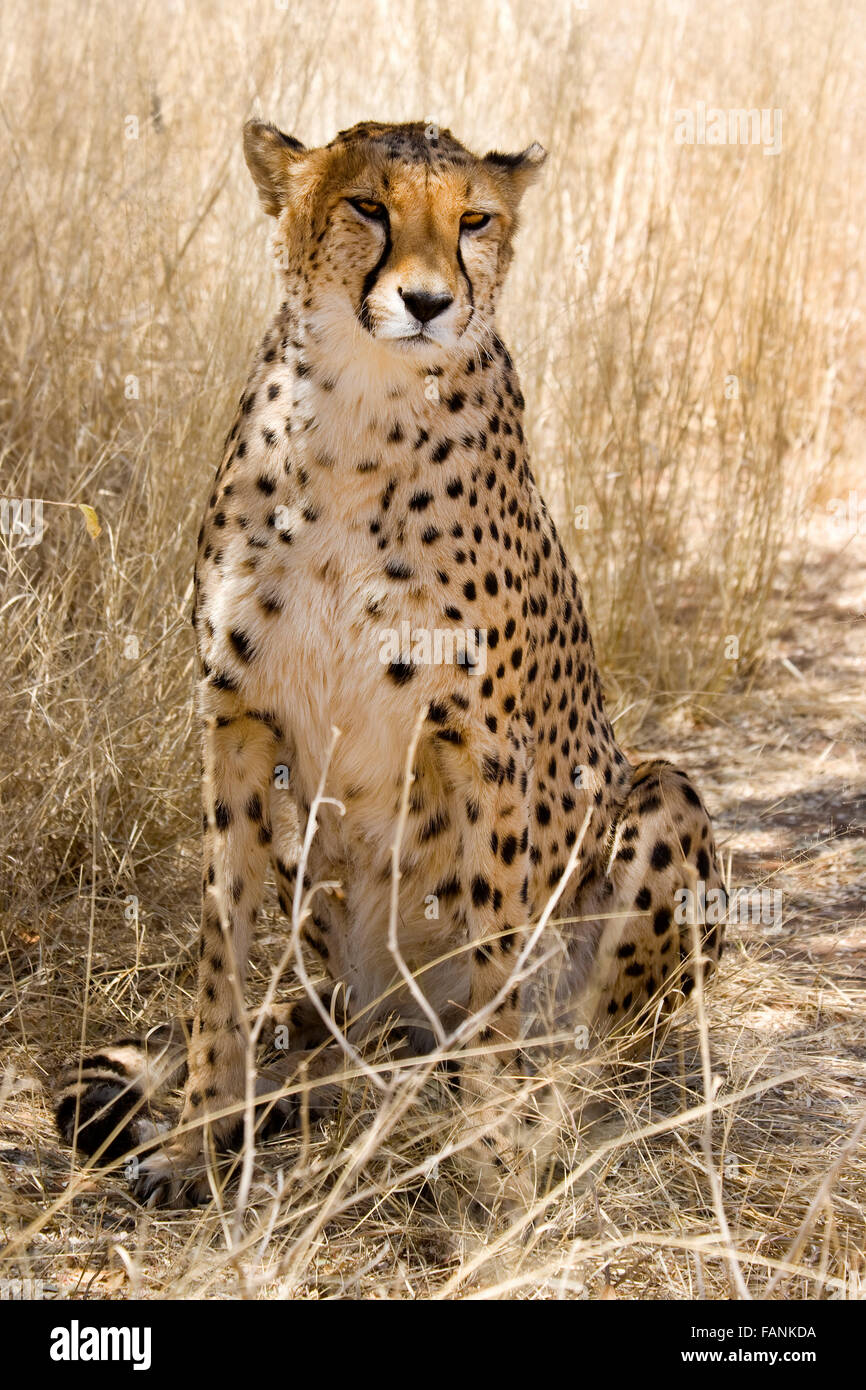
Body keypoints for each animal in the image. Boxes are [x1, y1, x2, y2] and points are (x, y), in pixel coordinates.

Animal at [57, 119, 728, 1206]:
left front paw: (491, 1164)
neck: (357, 415)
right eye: (367, 206)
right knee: (326, 1032)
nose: (426, 301)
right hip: (328, 928)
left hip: (660, 795)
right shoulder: (234, 719)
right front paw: (197, 1136)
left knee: (576, 1037)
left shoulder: (486, 747)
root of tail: (396, 1020)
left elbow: (498, 960)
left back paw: (528, 1098)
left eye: (474, 220)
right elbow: (220, 956)